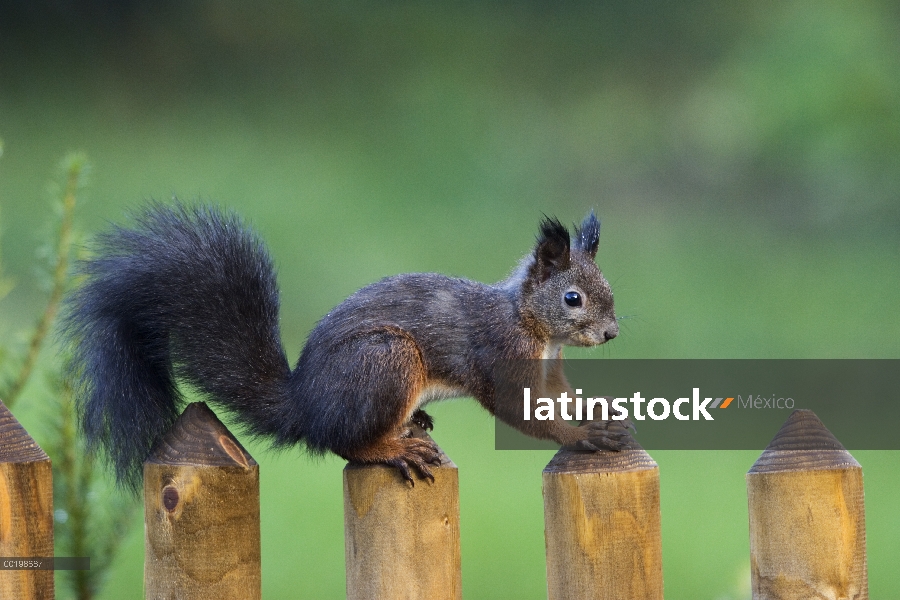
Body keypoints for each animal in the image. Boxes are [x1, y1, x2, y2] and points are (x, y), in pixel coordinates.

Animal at [61, 203, 624, 488]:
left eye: (609, 289)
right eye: (572, 298)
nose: (611, 332)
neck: (531, 323)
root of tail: (306, 405)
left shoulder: (550, 367)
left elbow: (559, 395)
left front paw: (598, 411)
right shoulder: (501, 357)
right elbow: (520, 411)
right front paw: (580, 436)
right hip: (384, 360)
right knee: (343, 442)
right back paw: (393, 448)